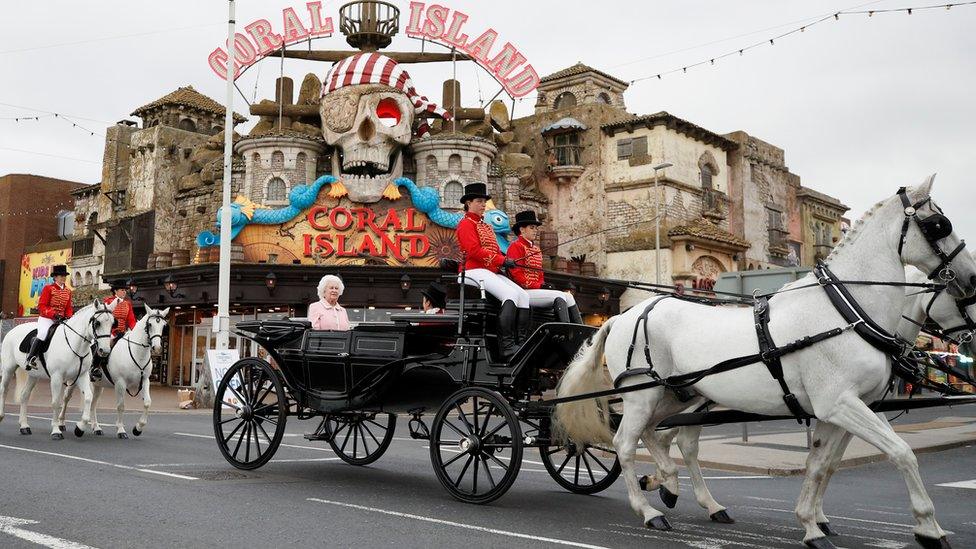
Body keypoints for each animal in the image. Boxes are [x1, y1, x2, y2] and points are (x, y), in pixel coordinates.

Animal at [0, 300, 117, 436]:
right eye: (97, 323)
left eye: (112, 323)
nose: (105, 351)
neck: (74, 344)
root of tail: (13, 330)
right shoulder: (57, 377)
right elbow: (56, 402)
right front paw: (56, 430)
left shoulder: (81, 376)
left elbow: (88, 397)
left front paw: (80, 427)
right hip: (8, 369)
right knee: (4, 389)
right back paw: (2, 416)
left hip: (34, 375)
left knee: (24, 395)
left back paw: (24, 426)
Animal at [57, 304, 169, 436]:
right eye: (150, 324)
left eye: (163, 326)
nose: (157, 348)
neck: (137, 353)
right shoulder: (120, 383)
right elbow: (121, 406)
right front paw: (120, 429)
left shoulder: (145, 381)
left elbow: (147, 403)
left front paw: (138, 428)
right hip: (75, 381)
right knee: (67, 397)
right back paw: (61, 423)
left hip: (98, 386)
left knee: (93, 404)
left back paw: (96, 427)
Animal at [556, 178, 976, 544]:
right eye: (939, 225)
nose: (971, 280)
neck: (844, 311)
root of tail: (623, 315)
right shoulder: (840, 404)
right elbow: (901, 452)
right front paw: (928, 527)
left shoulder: (848, 408)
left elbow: (822, 464)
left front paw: (812, 521)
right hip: (642, 395)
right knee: (625, 443)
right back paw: (649, 510)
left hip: (677, 396)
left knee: (662, 436)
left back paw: (677, 487)